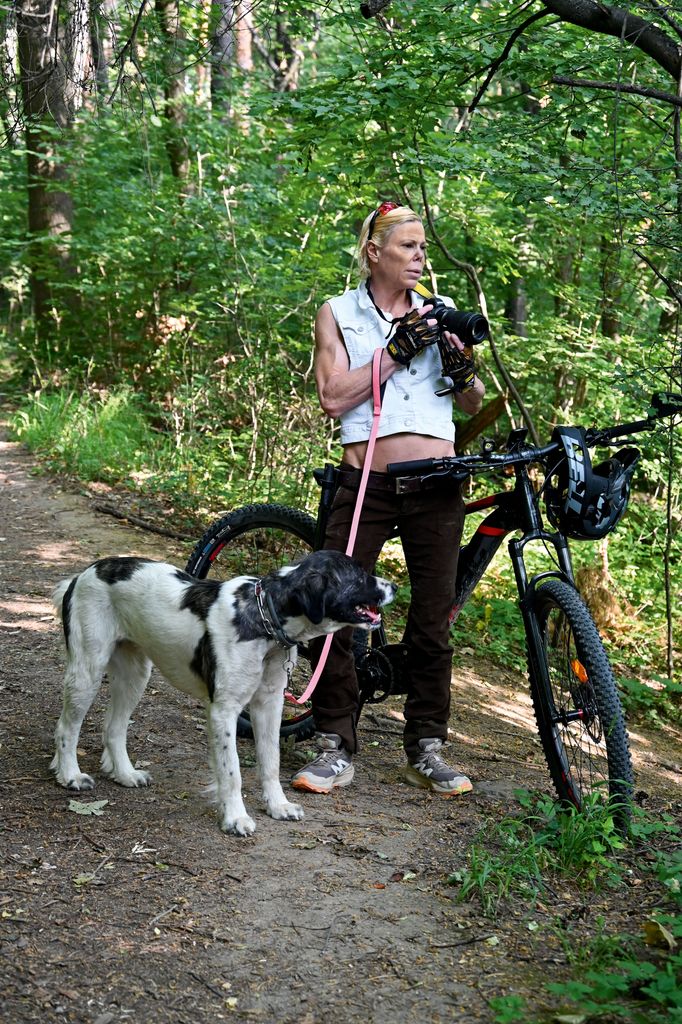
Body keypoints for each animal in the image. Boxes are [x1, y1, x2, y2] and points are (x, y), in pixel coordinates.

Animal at [51, 552, 393, 831]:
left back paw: (125, 774)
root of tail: (83, 574)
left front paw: (278, 806)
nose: (392, 586)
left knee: (113, 728)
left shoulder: (269, 706)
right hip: (87, 670)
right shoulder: (224, 710)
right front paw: (236, 818)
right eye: (359, 576)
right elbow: (232, 772)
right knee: (66, 727)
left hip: (135, 674)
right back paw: (70, 775)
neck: (264, 622)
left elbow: (270, 762)